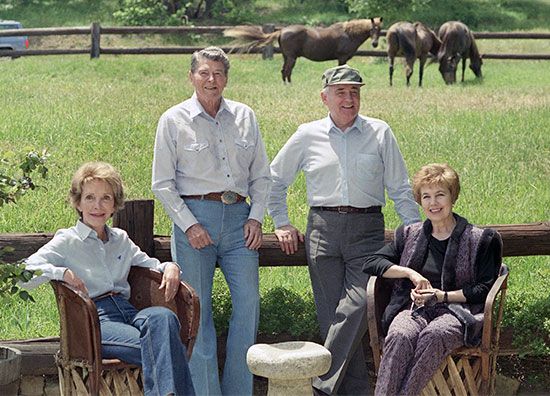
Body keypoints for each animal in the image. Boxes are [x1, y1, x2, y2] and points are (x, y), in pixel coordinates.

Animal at [224, 18, 384, 83]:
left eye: (380, 29)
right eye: (372, 29)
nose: (375, 43)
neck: (348, 34)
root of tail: (282, 31)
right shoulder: (342, 58)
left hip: (286, 56)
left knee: (284, 72)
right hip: (291, 57)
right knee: (287, 71)